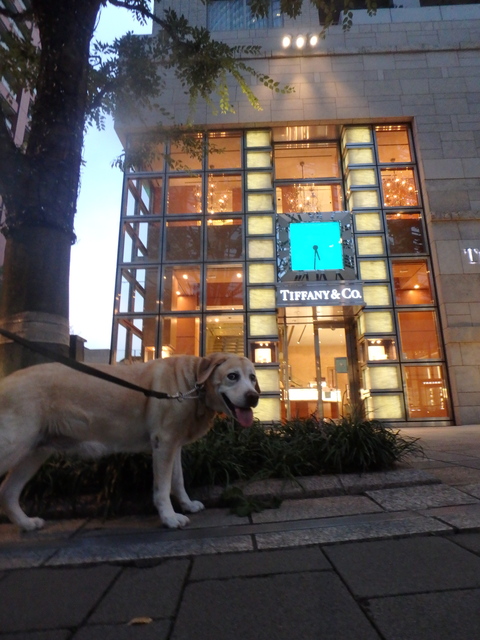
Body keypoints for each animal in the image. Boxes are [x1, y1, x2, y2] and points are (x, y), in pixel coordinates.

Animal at [0, 350, 260, 528]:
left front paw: (187, 505)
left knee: (7, 492)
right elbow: (162, 487)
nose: (254, 397)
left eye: (253, 378)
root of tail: (6, 380)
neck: (193, 384)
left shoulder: (173, 445)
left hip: (35, 452)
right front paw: (169, 518)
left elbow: (177, 481)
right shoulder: (163, 443)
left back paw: (26, 523)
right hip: (14, 446)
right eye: (232, 376)